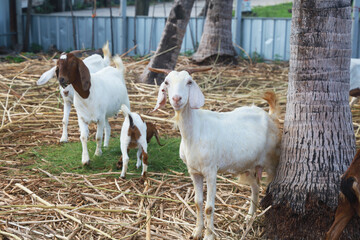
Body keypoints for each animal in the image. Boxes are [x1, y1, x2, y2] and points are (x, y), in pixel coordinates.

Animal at [149, 66, 282, 239]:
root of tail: (270, 116)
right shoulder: (194, 172)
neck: (195, 131)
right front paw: (196, 232)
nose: (177, 99)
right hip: (249, 165)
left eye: (189, 82)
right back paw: (249, 217)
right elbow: (198, 203)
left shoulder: (211, 171)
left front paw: (208, 235)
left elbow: (209, 207)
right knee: (255, 187)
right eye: (166, 82)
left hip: (272, 161)